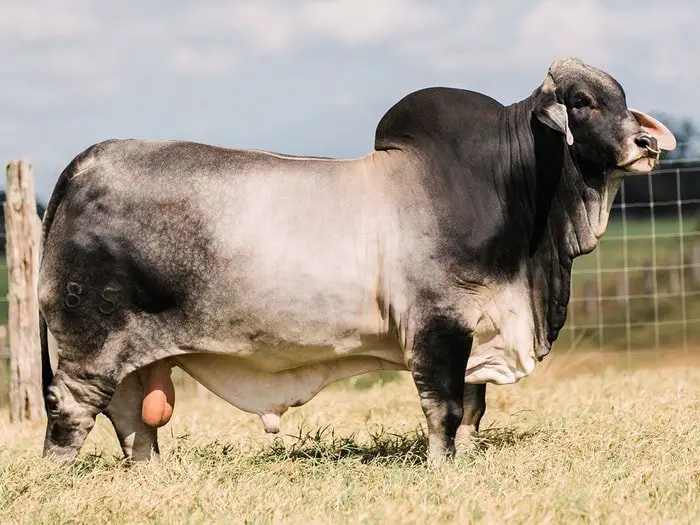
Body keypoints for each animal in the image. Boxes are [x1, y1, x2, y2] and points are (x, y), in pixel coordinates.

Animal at [37, 57, 672, 462]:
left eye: (622, 100)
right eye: (582, 103)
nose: (646, 145)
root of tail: (83, 164)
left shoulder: (479, 329)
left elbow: (473, 410)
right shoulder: (438, 325)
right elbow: (444, 409)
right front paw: (443, 469)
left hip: (131, 357)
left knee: (131, 422)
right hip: (87, 346)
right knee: (70, 414)